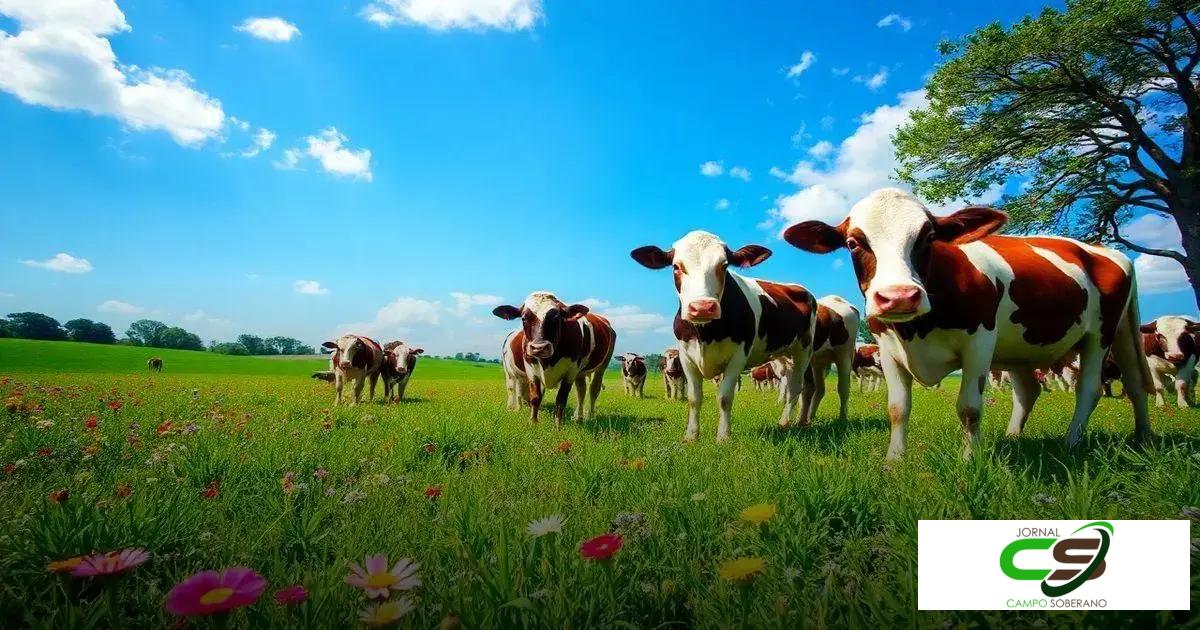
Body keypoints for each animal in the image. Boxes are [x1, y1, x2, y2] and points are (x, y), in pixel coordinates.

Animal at [493, 291, 616, 427]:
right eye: (524, 318)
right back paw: (578, 417)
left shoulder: (571, 372)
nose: (539, 348)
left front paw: (558, 425)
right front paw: (533, 423)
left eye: (556, 318)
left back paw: (590, 416)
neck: (547, 362)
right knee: (581, 390)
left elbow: (561, 400)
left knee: (594, 389)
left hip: (602, 365)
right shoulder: (531, 369)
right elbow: (536, 397)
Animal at [631, 231, 818, 442]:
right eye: (676, 266)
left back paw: (785, 422)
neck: (706, 335)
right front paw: (691, 436)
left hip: (804, 350)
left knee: (796, 387)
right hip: (785, 356)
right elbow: (694, 398)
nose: (702, 307)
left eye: (724, 265)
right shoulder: (686, 358)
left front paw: (723, 436)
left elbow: (724, 397)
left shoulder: (738, 357)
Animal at [799, 295, 860, 424]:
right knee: (819, 389)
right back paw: (810, 417)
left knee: (843, 388)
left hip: (844, 355)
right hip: (818, 362)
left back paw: (842, 419)